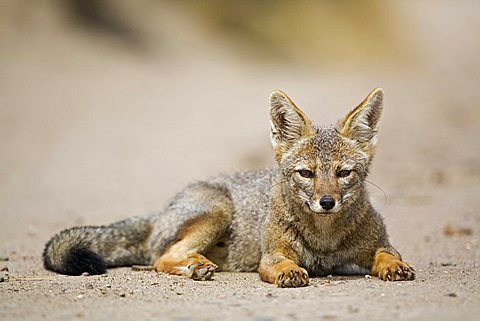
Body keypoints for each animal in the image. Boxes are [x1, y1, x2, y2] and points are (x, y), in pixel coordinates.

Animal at [43, 89, 414, 286]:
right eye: (306, 173)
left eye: (344, 172)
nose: (326, 202)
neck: (325, 239)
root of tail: (162, 209)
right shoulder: (272, 255)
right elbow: (282, 264)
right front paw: (291, 272)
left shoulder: (380, 244)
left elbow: (387, 254)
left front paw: (393, 267)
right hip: (218, 211)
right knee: (162, 257)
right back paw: (194, 266)